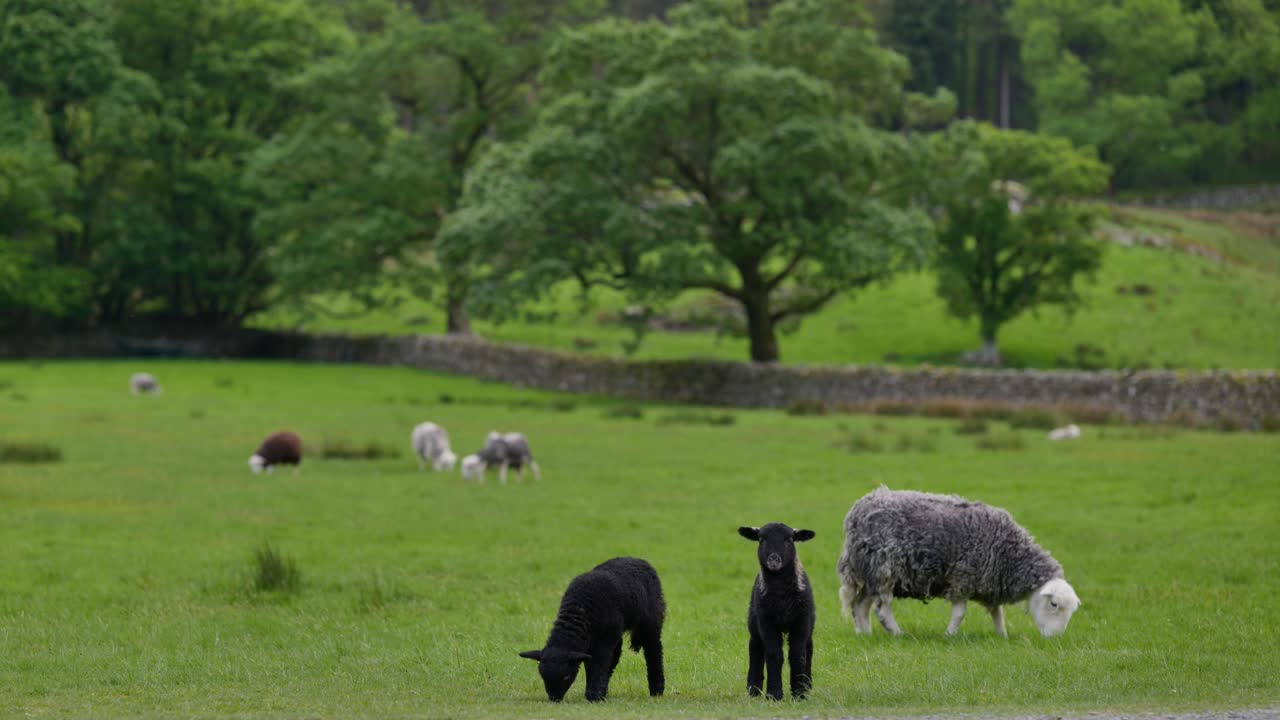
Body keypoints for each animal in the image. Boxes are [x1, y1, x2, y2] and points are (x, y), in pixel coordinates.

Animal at [520, 557, 665, 703]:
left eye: (566, 676)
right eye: (542, 676)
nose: (554, 698)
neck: (579, 610)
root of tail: (637, 559)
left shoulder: (603, 643)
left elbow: (599, 664)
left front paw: (594, 696)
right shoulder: (592, 644)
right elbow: (592, 665)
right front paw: (595, 692)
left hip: (650, 621)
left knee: (654, 650)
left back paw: (657, 690)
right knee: (615, 656)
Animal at [738, 523, 816, 701]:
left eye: (789, 539)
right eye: (761, 539)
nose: (774, 559)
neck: (781, 597)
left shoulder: (801, 621)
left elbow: (797, 654)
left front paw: (799, 693)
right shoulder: (766, 622)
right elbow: (774, 655)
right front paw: (774, 694)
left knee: (808, 648)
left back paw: (807, 684)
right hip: (754, 623)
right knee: (756, 649)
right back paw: (754, 689)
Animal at [838, 487, 1080, 638]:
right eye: (1054, 604)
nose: (1054, 639)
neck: (1009, 556)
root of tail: (857, 512)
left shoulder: (990, 580)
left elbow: (997, 613)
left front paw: (1002, 635)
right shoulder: (963, 578)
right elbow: (960, 613)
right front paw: (949, 635)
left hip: (869, 573)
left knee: (860, 605)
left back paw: (864, 635)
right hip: (883, 570)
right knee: (882, 608)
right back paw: (897, 634)